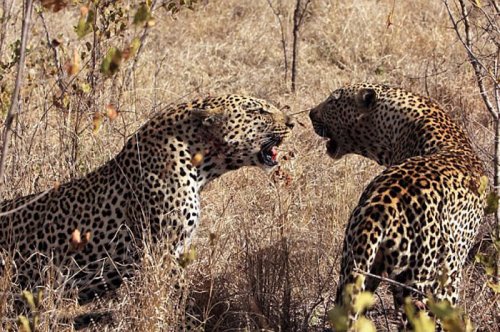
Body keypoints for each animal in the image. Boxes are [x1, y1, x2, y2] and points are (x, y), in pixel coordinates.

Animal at [310, 83, 486, 330]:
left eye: (333, 101)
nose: (311, 113)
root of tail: (379, 206)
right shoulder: (448, 278)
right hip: (419, 286)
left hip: (353, 266)